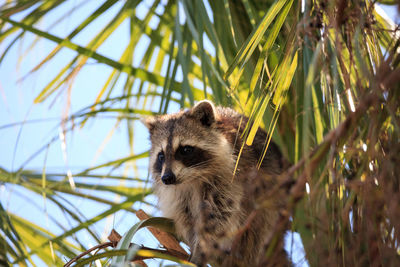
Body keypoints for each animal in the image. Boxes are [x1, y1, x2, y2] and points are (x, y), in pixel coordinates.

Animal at [144, 101, 290, 267]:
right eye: (161, 156)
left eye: (185, 150)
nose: (167, 178)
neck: (192, 178)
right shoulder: (178, 193)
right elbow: (186, 217)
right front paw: (194, 244)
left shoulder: (231, 174)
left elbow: (220, 215)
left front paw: (201, 248)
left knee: (257, 232)